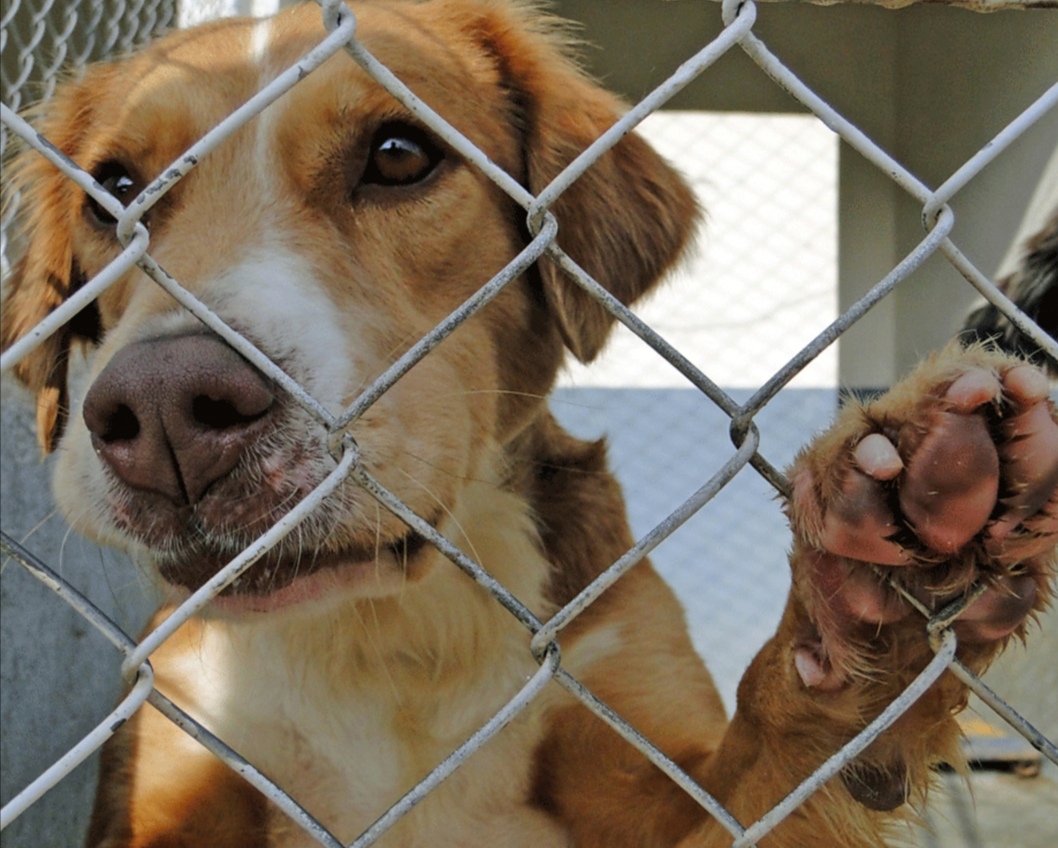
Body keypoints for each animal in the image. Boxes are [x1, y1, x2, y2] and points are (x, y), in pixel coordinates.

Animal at [2, 1, 1058, 845]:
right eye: (114, 193)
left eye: (398, 154)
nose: (167, 413)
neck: (389, 632)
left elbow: (778, 740)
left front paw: (869, 592)